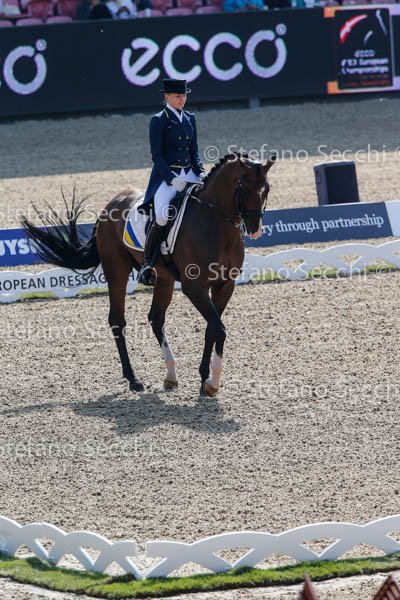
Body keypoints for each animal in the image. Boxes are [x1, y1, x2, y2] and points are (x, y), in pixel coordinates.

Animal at [21, 152, 276, 397]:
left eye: (266, 189)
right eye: (244, 188)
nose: (255, 229)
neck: (214, 224)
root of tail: (110, 204)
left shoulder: (225, 285)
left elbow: (213, 329)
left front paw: (205, 382)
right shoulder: (195, 287)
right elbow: (219, 329)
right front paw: (212, 384)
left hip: (164, 278)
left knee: (156, 318)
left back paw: (171, 376)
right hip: (117, 271)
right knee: (117, 320)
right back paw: (133, 379)